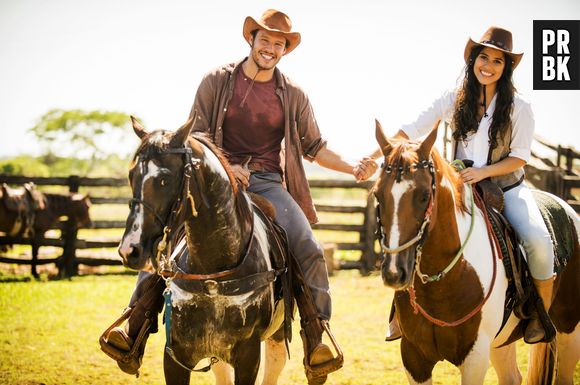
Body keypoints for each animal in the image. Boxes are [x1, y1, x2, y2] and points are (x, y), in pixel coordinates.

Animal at [118, 117, 290, 384]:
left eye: (164, 179)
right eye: (131, 175)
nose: (129, 249)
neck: (213, 273)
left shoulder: (248, 357)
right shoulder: (175, 356)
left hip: (278, 331)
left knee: (276, 361)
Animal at [372, 118, 580, 382]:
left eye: (424, 195)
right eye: (377, 194)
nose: (394, 272)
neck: (446, 280)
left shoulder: (475, 357)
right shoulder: (413, 358)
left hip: (569, 331)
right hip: (501, 343)